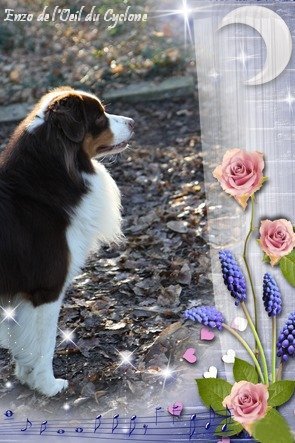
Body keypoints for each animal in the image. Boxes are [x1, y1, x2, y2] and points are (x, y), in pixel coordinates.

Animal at [0, 86, 134, 396]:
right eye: (98, 117)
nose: (133, 122)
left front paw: (26, 376)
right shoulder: (47, 287)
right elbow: (45, 342)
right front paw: (47, 385)